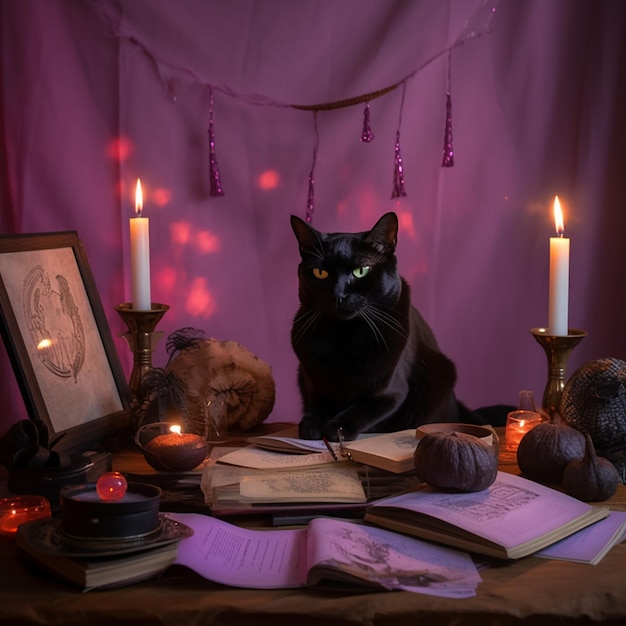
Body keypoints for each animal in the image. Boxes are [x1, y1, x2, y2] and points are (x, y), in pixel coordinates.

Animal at [288, 212, 482, 442]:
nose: (338, 295)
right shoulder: (312, 381)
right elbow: (318, 401)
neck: (344, 336)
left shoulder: (392, 394)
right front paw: (312, 423)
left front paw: (337, 427)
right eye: (320, 273)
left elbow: (361, 409)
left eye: (361, 271)